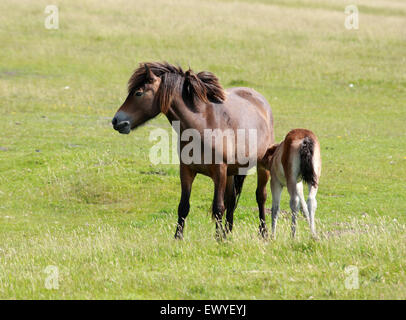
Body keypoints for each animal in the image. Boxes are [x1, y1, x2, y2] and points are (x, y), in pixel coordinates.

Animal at [112, 61, 274, 239]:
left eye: (138, 93)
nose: (116, 121)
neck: (202, 125)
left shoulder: (220, 171)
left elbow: (218, 207)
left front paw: (218, 240)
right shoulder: (187, 170)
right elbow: (183, 206)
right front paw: (178, 237)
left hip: (261, 166)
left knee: (260, 197)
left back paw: (263, 233)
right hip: (232, 171)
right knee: (232, 200)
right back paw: (228, 232)